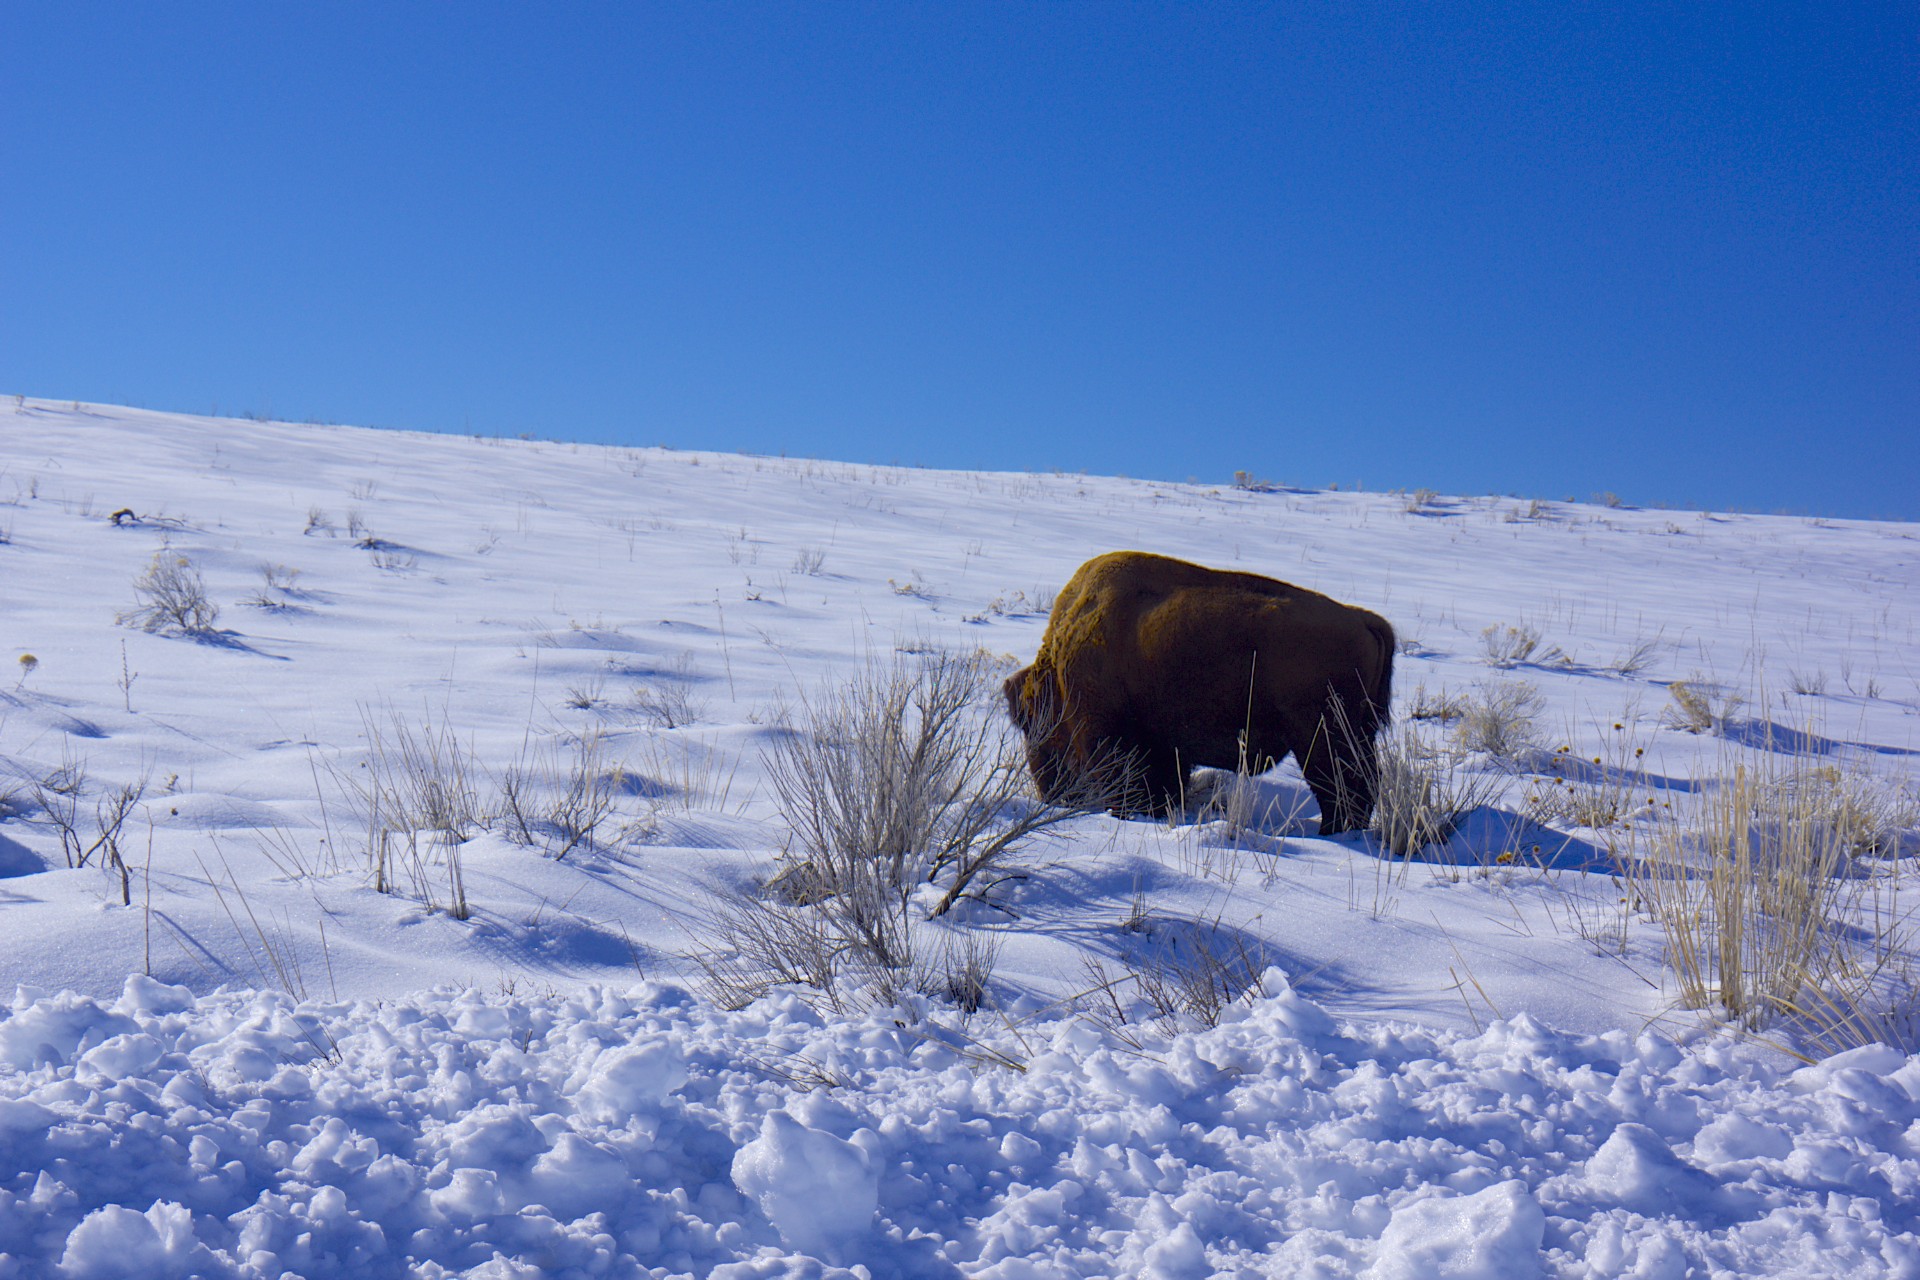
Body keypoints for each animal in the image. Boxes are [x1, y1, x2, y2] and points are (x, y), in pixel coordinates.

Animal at [1006, 552, 1397, 836]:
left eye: (1030, 722)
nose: (1051, 792)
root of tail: (1363, 620)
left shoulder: (1108, 734)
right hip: (1354, 733)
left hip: (1321, 738)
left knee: (1344, 788)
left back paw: (1332, 834)